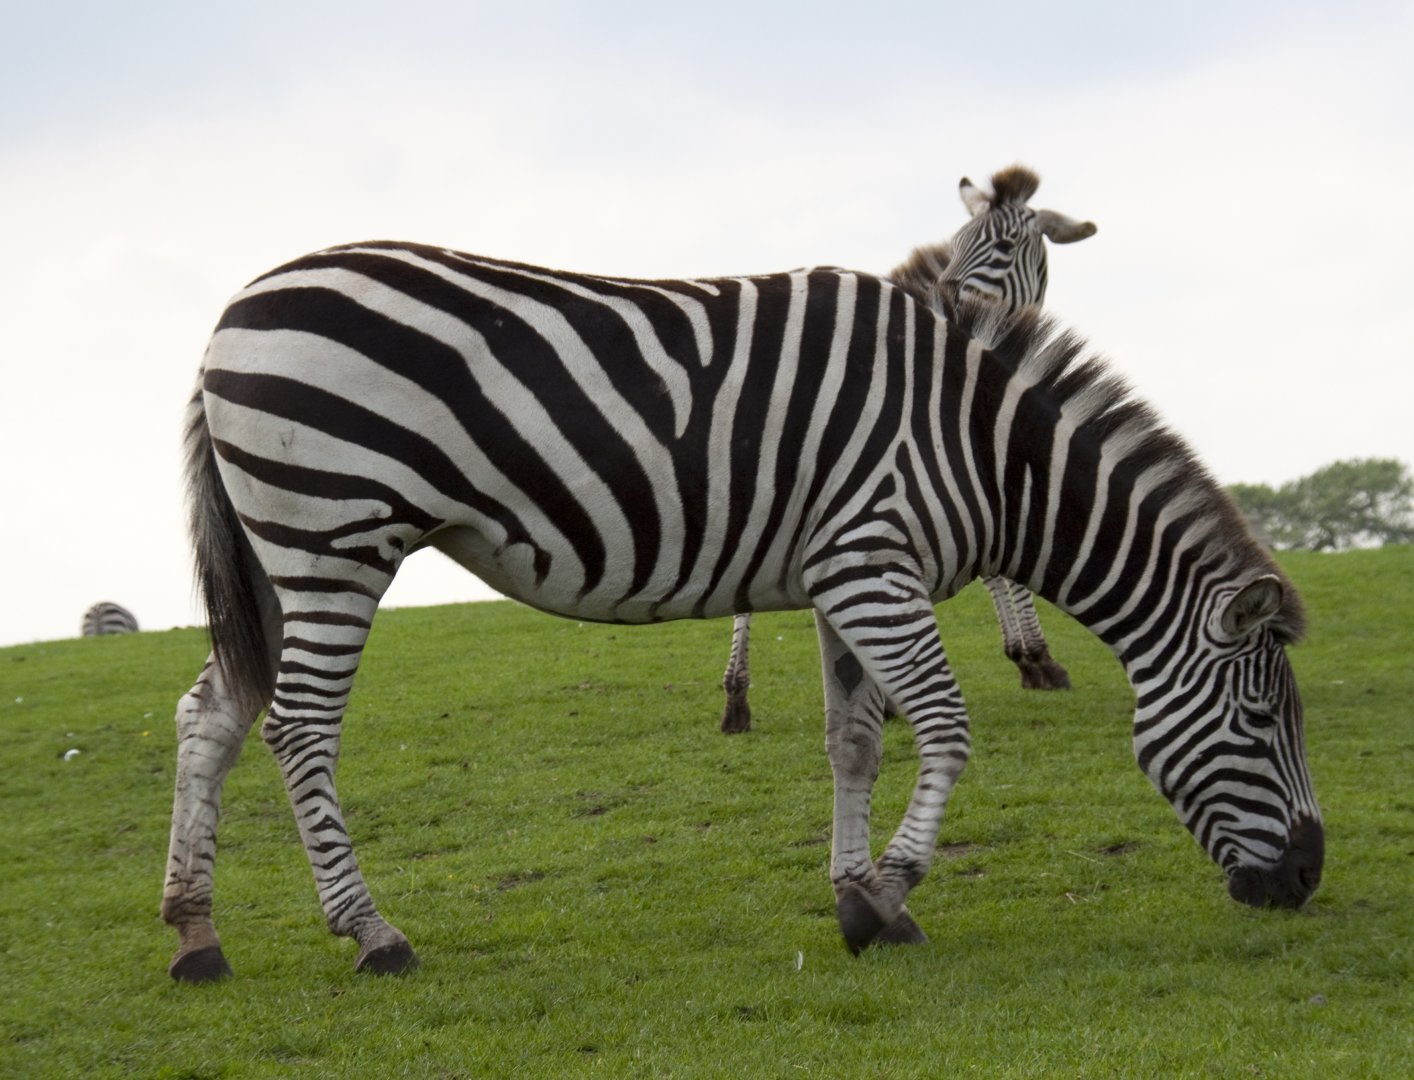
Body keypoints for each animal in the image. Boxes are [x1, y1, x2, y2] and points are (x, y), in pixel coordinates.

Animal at [162, 240, 1323, 982]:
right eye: (1264, 720)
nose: (1307, 882)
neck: (987, 448)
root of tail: (231, 310)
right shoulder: (871, 563)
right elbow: (946, 728)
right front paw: (893, 890)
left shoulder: (844, 574)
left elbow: (855, 740)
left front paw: (857, 898)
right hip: (333, 539)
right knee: (299, 728)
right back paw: (373, 934)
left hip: (276, 551)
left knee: (210, 714)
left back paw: (194, 936)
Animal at [720, 166, 1094, 732]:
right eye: (957, 243)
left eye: (1003, 245)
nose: (952, 296)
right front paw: (1037, 658)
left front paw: (1022, 656)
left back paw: (738, 698)